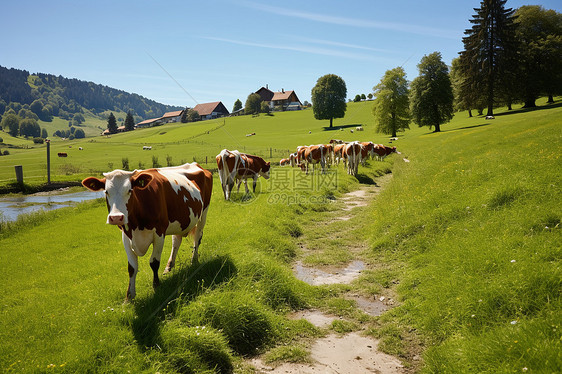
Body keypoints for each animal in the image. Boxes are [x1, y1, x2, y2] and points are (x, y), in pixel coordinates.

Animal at [82, 164, 212, 300]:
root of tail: (196, 165)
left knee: (197, 238)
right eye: (106, 192)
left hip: (204, 213)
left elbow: (154, 262)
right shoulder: (126, 236)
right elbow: (132, 267)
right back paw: (169, 266)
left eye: (130, 190)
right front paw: (129, 296)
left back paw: (194, 260)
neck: (136, 225)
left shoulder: (159, 233)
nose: (116, 217)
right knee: (176, 241)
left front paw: (156, 286)